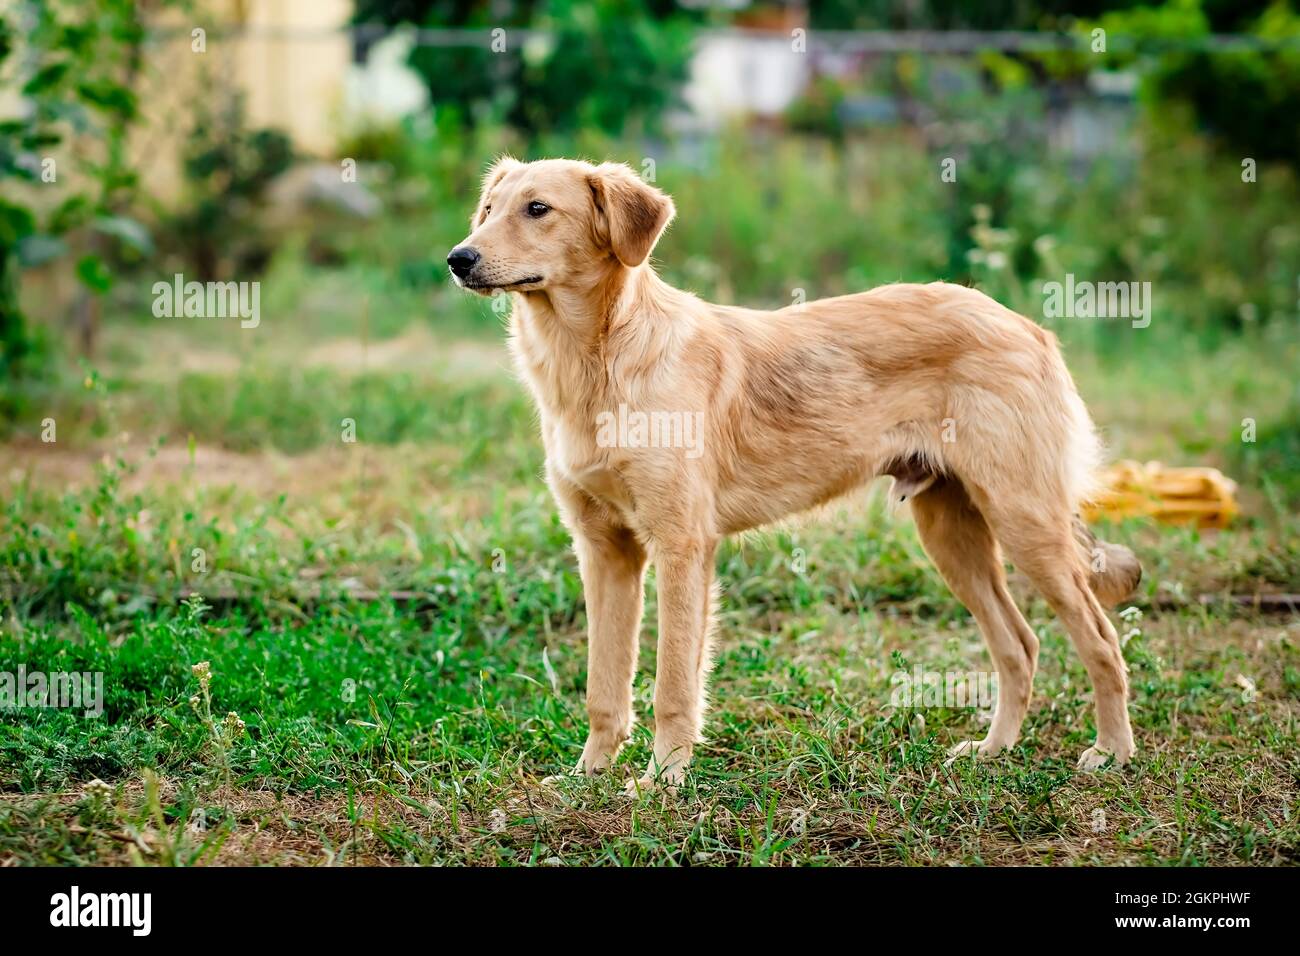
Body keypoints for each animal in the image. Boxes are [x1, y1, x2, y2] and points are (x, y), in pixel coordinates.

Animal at [452, 155, 1144, 785]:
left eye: (538, 209)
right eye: (488, 209)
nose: (459, 258)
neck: (597, 360)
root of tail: (1028, 326)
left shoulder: (681, 547)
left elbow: (672, 683)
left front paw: (664, 779)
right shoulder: (605, 551)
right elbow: (605, 688)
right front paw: (589, 776)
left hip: (1026, 525)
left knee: (1101, 642)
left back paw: (1111, 752)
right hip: (952, 535)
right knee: (1019, 646)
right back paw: (994, 751)